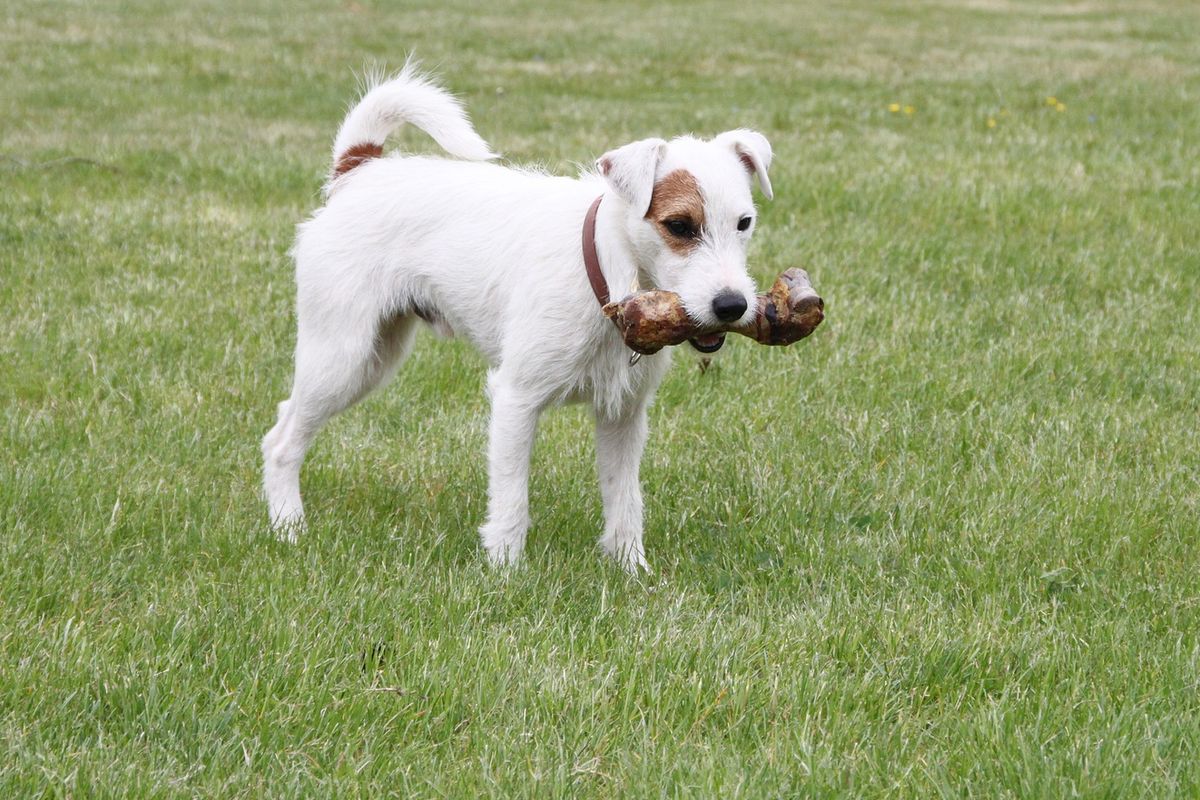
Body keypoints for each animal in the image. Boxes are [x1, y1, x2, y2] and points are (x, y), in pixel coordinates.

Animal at [259, 65, 772, 573]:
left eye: (744, 223)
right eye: (679, 226)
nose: (732, 305)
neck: (606, 271)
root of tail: (358, 169)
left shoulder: (622, 415)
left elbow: (625, 501)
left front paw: (632, 570)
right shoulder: (515, 401)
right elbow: (511, 499)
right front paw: (505, 573)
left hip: (375, 359)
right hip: (341, 358)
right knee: (282, 442)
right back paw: (289, 530)